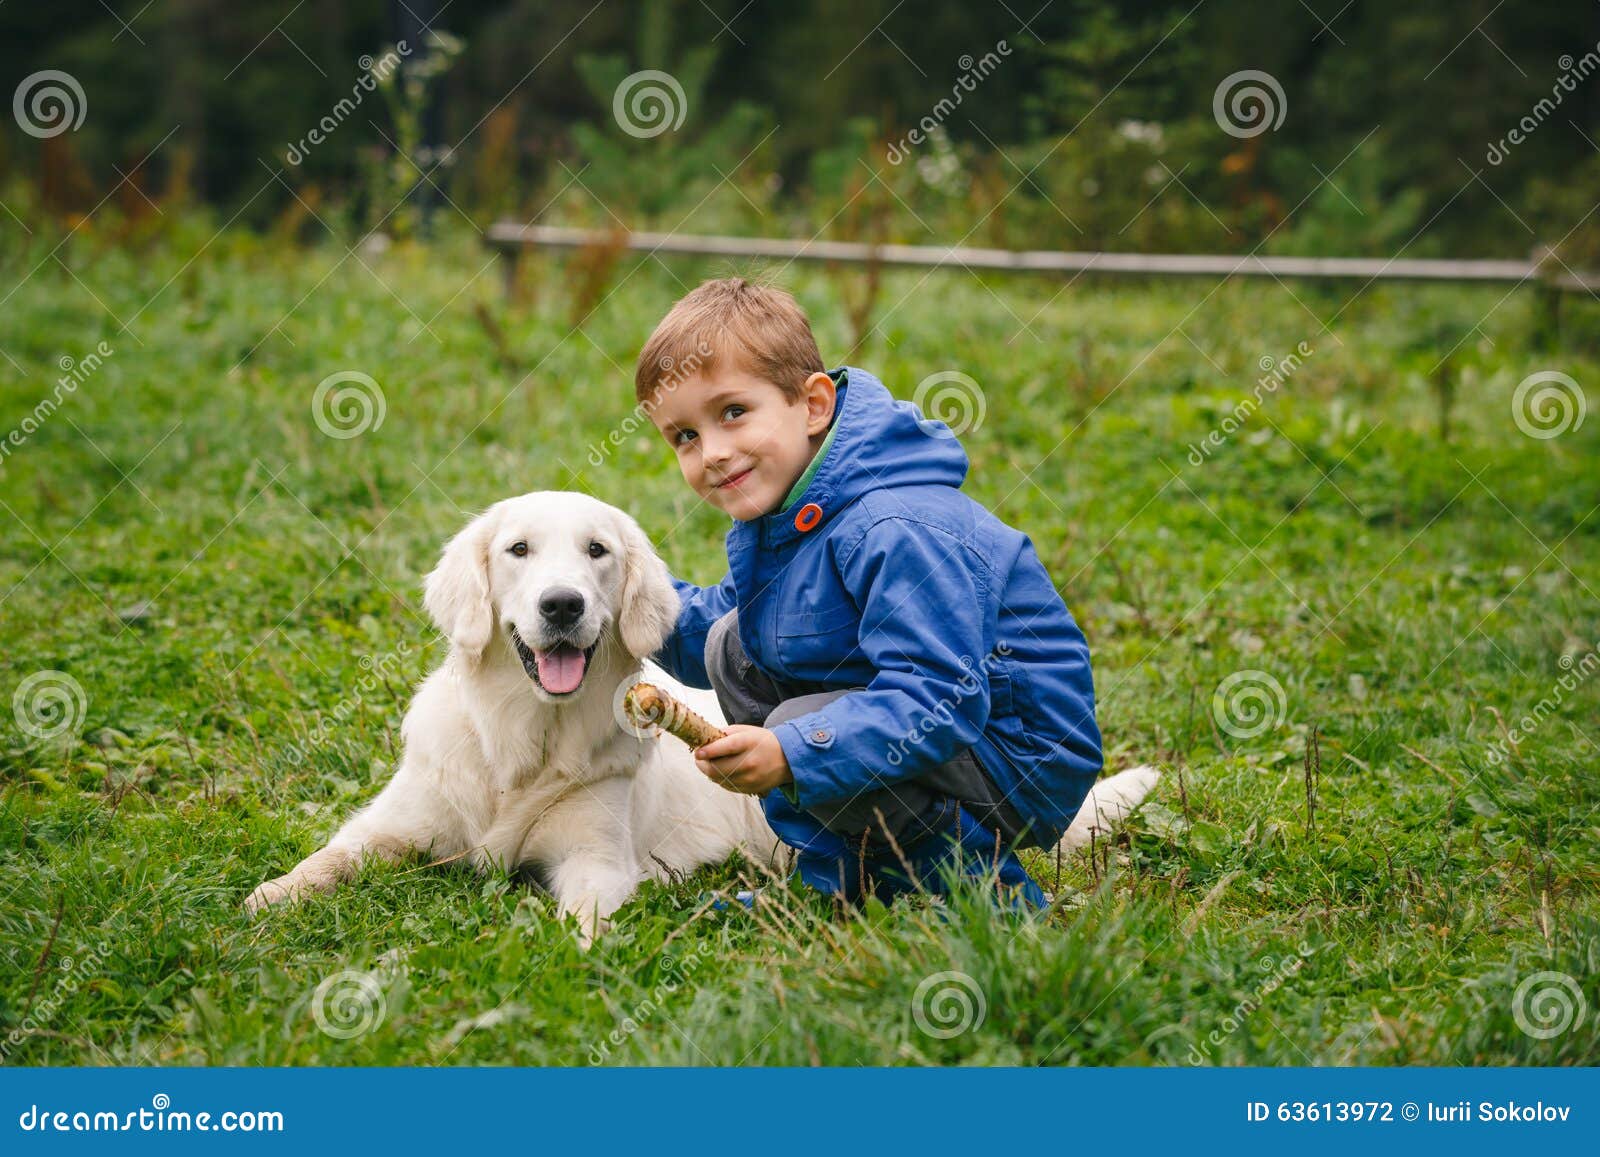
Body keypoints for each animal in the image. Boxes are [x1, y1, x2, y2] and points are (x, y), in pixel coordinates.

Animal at [243, 489, 1158, 940]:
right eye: (518, 550)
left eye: (597, 551)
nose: (563, 605)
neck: (525, 743)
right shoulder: (394, 823)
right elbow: (331, 856)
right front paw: (268, 896)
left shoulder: (598, 858)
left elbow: (582, 912)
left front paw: (559, 947)